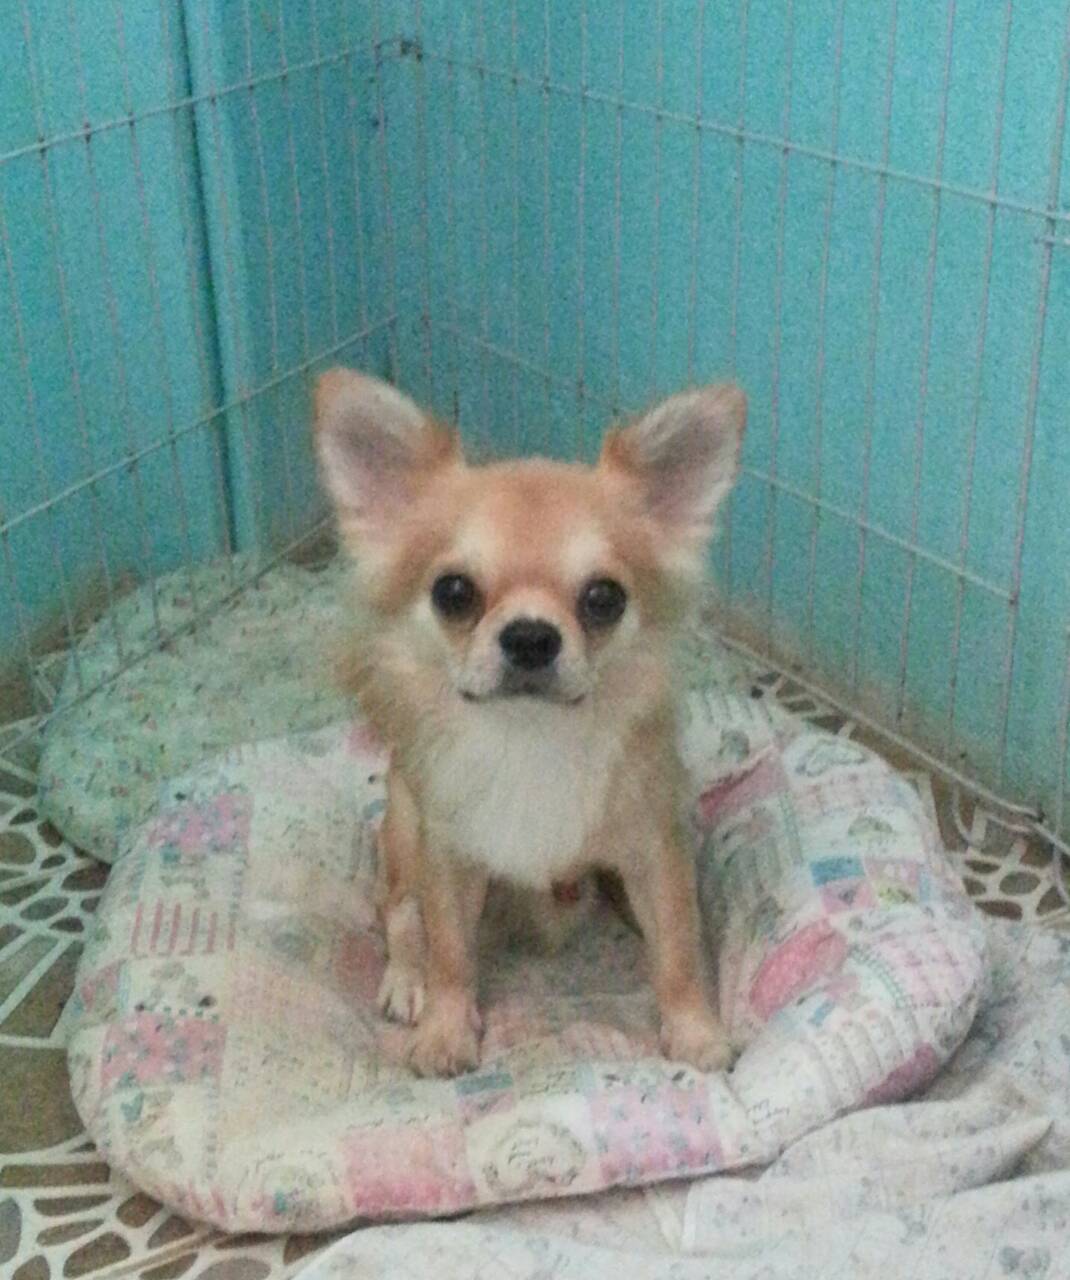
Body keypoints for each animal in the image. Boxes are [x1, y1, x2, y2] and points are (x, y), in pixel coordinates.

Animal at [314, 369, 746, 1077]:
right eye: (453, 593)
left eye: (604, 598)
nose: (531, 637)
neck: (529, 738)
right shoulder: (448, 854)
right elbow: (450, 951)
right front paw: (445, 1031)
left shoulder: (655, 850)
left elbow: (679, 950)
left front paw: (694, 1031)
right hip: (403, 822)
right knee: (398, 909)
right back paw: (406, 978)